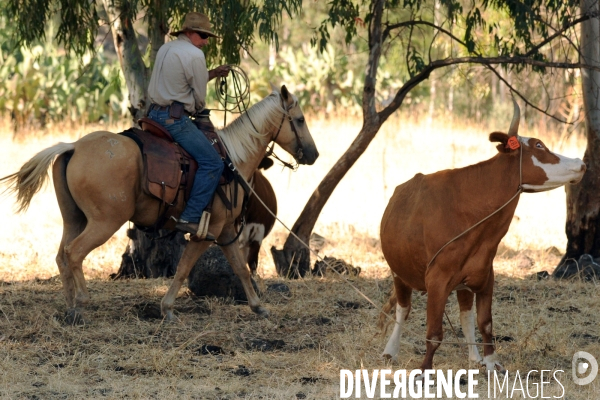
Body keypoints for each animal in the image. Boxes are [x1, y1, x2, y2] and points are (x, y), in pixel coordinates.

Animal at [1, 86, 318, 322]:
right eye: (300, 119)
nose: (313, 154)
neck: (231, 159)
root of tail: (74, 147)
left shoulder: (226, 231)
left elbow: (240, 268)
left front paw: (258, 306)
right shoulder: (207, 232)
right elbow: (184, 268)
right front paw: (167, 309)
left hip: (74, 218)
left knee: (61, 255)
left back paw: (69, 306)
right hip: (104, 222)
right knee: (74, 252)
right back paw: (81, 302)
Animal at [382, 99, 584, 372]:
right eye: (539, 145)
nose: (580, 163)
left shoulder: (486, 274)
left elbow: (485, 323)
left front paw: (490, 362)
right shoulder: (436, 280)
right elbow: (434, 332)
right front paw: (424, 369)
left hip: (463, 283)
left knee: (465, 315)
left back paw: (473, 356)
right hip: (399, 273)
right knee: (403, 310)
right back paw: (390, 350)